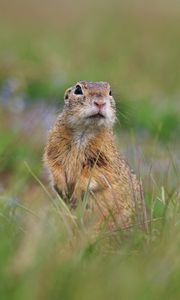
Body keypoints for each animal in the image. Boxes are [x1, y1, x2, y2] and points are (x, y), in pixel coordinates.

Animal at [44, 81, 148, 231]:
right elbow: (54, 164)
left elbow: (97, 173)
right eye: (78, 89)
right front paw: (62, 189)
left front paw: (76, 194)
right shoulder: (54, 146)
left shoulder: (105, 157)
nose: (100, 103)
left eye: (110, 92)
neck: (85, 131)